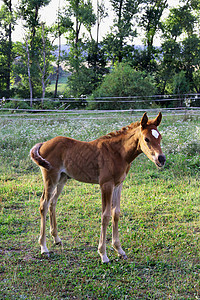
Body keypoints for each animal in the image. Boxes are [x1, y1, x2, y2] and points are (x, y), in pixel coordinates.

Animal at [30, 112, 165, 262]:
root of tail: (44, 143)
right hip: (50, 178)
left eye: (160, 137)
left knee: (53, 202)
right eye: (146, 139)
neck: (118, 153)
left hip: (62, 178)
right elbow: (105, 216)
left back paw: (56, 238)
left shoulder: (118, 185)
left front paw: (119, 250)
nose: (161, 159)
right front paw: (103, 254)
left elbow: (116, 213)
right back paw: (44, 247)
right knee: (44, 204)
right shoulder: (106, 185)